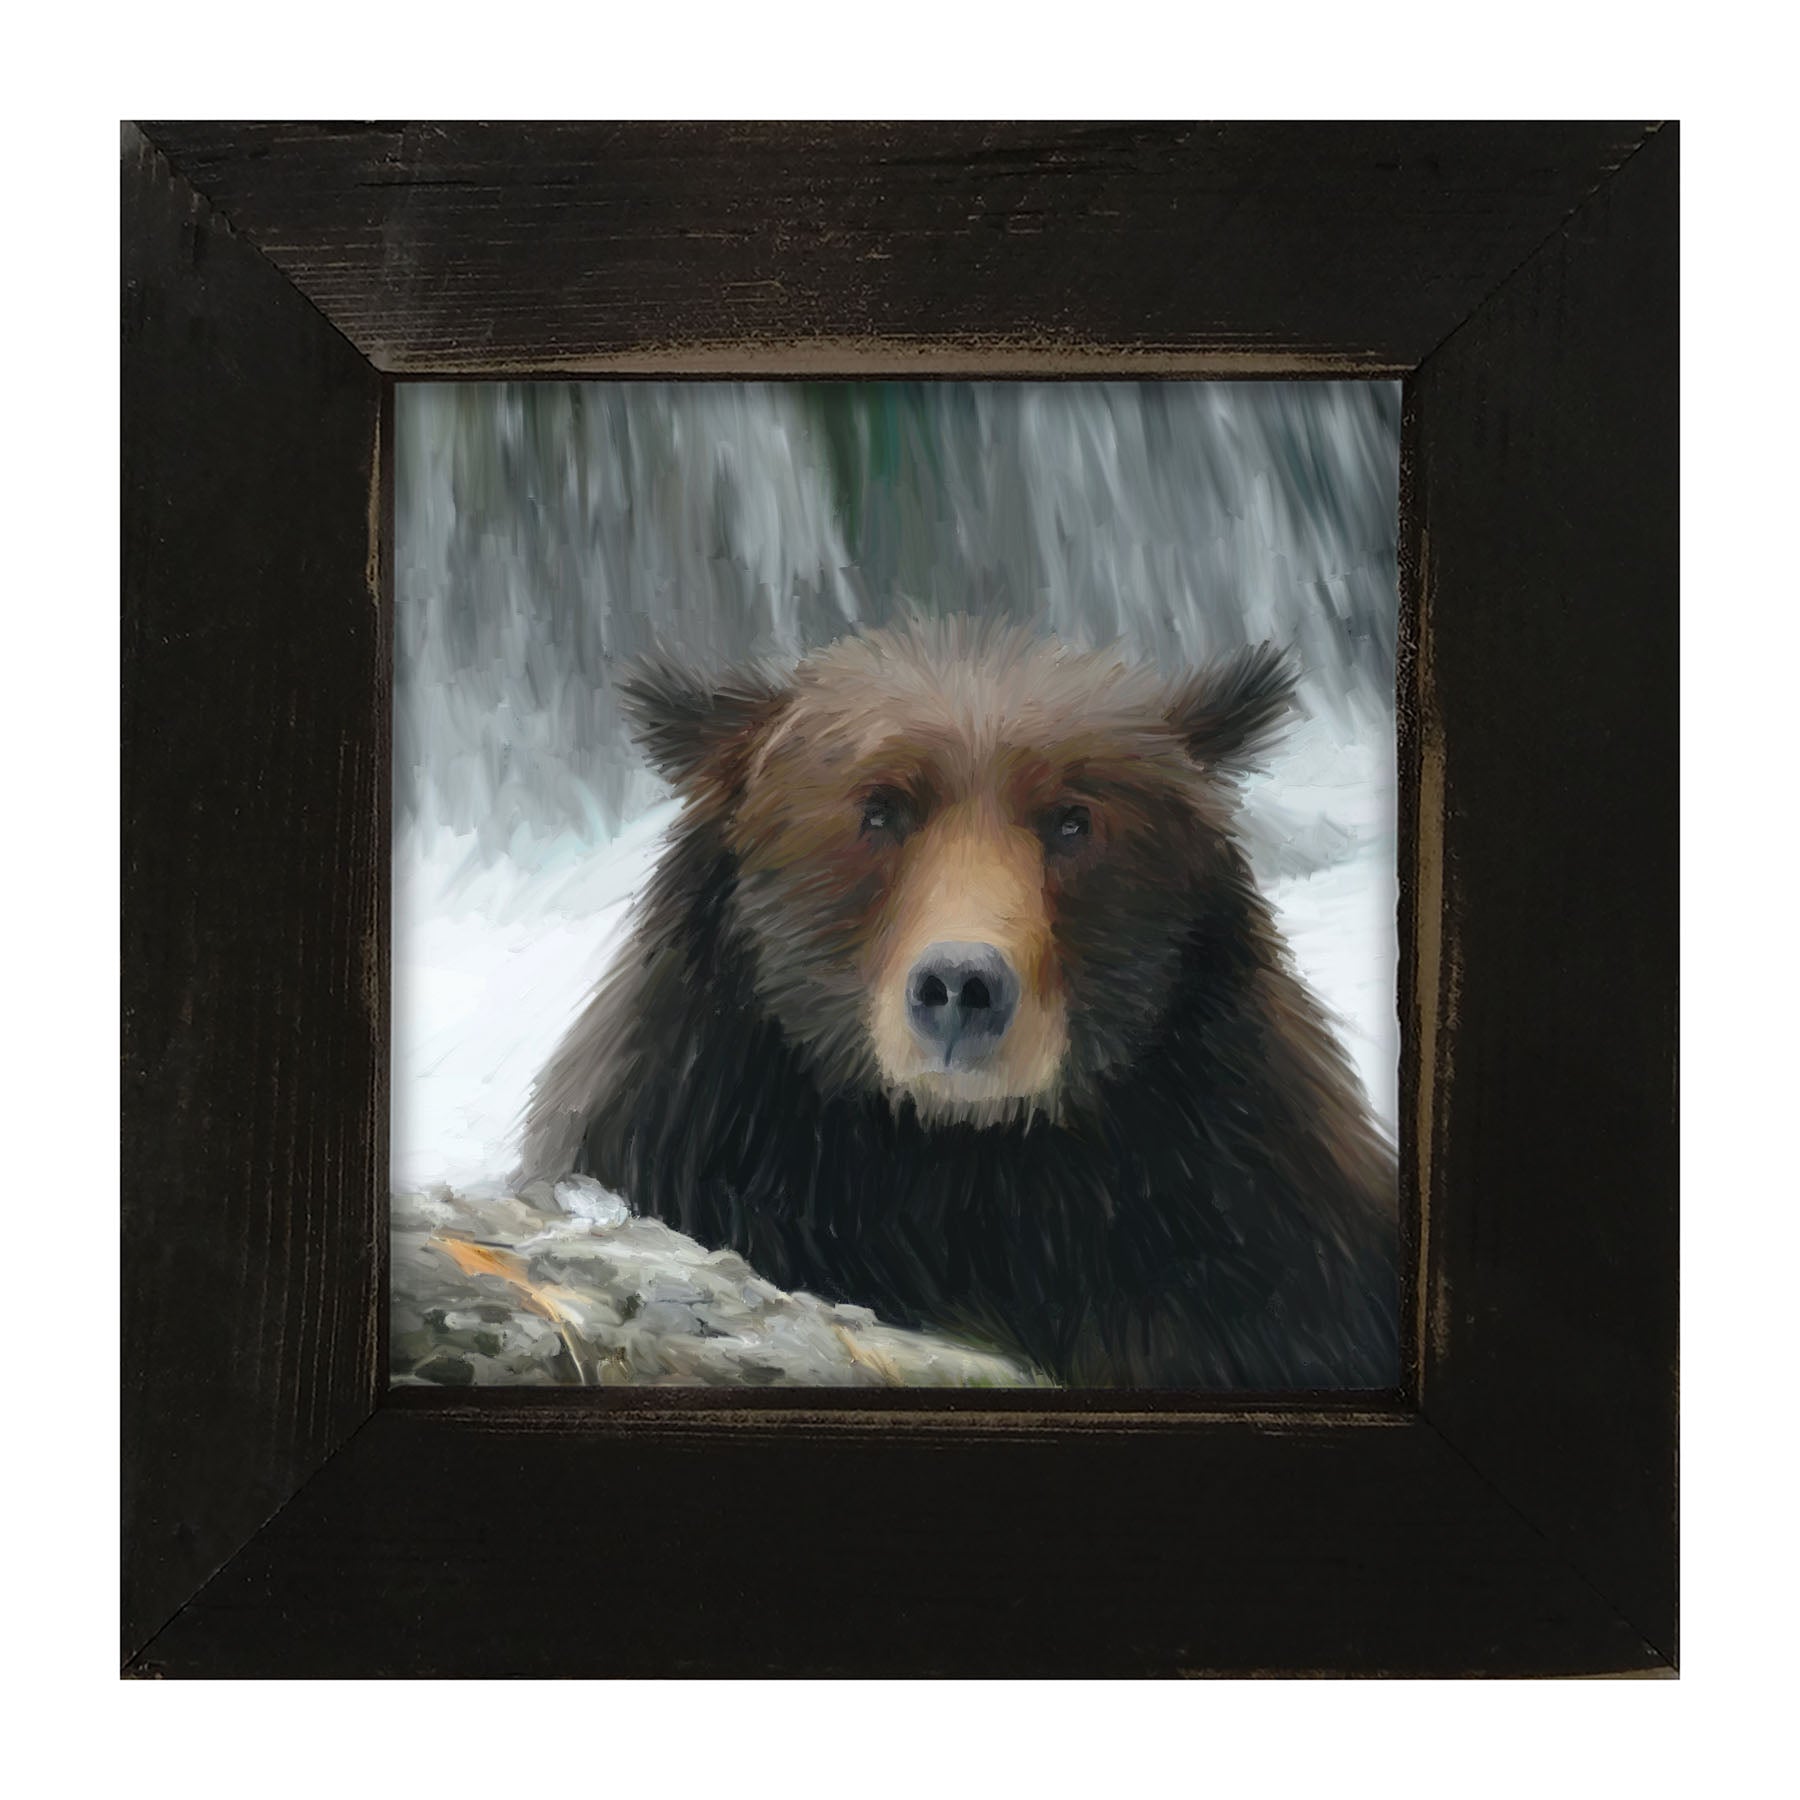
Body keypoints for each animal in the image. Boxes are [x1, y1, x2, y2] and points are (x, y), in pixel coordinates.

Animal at [521, 616, 1399, 1390]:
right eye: (880, 808)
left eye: (1072, 819)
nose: (961, 987)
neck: (959, 1166)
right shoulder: (693, 1139)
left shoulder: (1248, 1227)